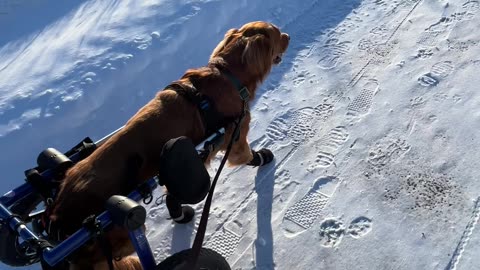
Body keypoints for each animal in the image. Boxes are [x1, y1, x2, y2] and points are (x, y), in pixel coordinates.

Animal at [47, 21, 288, 270]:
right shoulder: (236, 139)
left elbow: (172, 195)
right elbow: (248, 155)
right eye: (277, 33)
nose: (288, 36)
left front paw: (178, 213)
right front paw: (263, 157)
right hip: (123, 234)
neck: (228, 75)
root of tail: (57, 215)